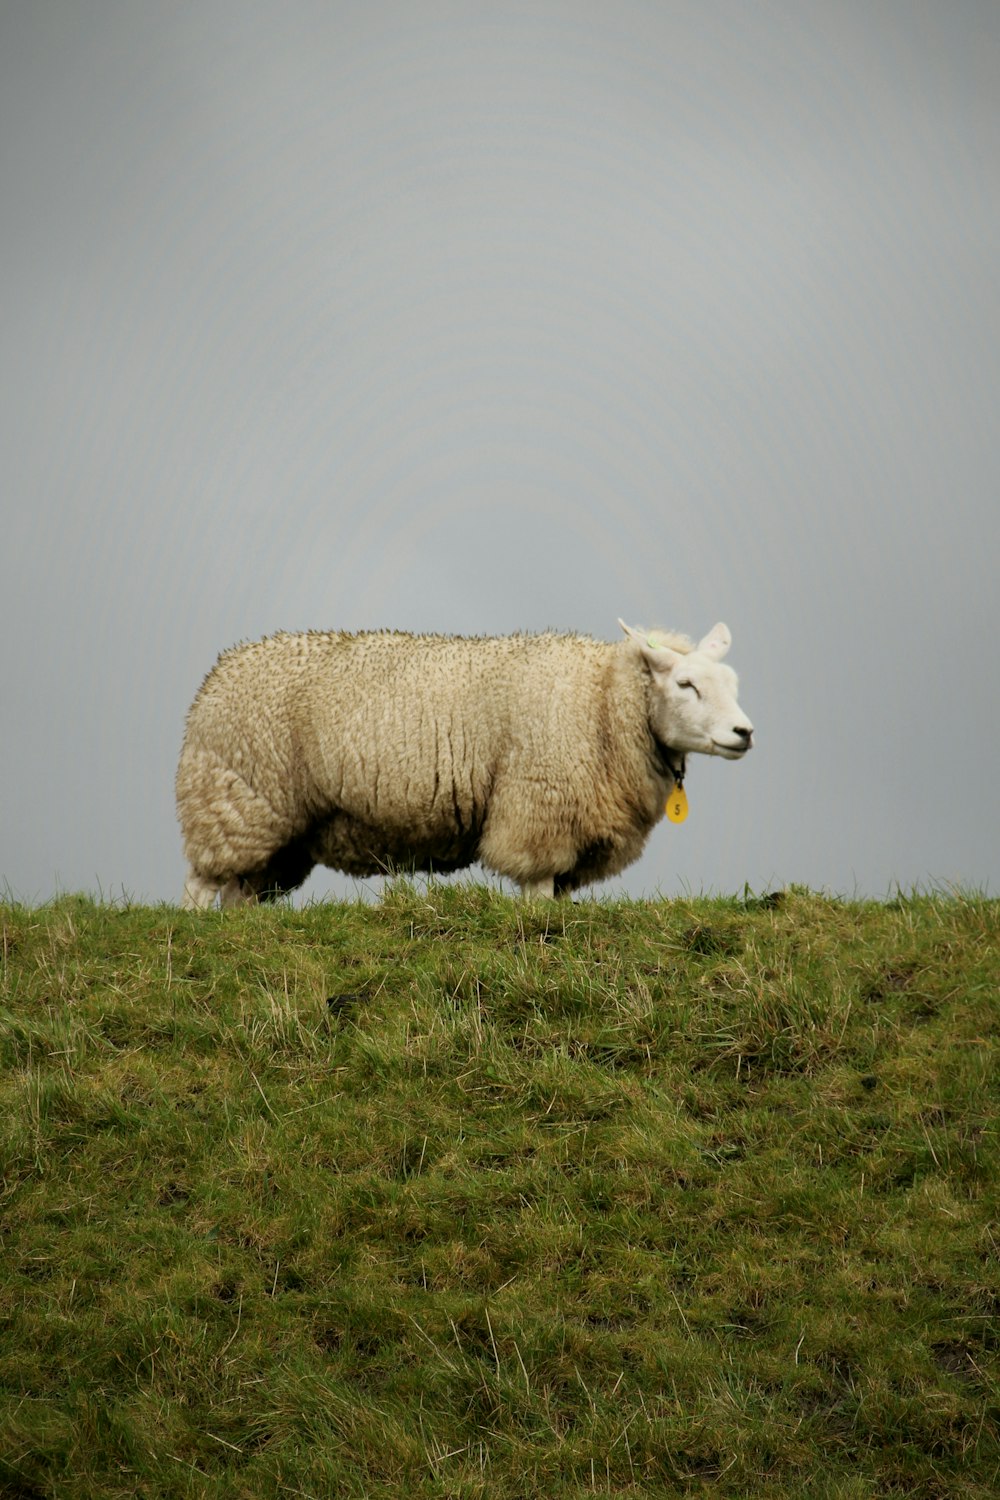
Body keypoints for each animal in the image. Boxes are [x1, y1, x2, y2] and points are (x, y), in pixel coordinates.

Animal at [176, 618, 755, 906]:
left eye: (732, 682)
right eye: (686, 684)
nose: (744, 733)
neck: (602, 702)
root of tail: (215, 677)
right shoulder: (537, 815)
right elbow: (537, 896)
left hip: (274, 836)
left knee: (238, 894)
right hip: (235, 803)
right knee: (201, 889)